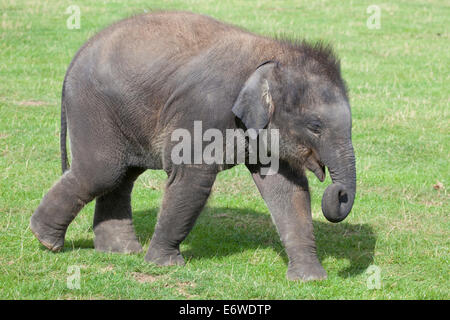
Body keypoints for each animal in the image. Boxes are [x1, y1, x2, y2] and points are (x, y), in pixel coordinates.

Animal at [29, 10, 356, 280]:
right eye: (315, 127)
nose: (339, 192)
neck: (272, 54)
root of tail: (78, 53)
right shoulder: (203, 110)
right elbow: (192, 178)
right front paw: (164, 265)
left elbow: (287, 190)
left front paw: (311, 279)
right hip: (93, 106)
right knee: (102, 172)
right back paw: (46, 240)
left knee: (123, 175)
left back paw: (121, 251)